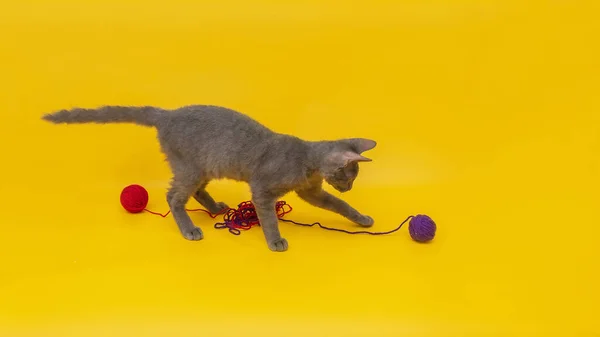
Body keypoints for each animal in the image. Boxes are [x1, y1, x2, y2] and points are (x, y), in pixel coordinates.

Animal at [43, 104, 376, 249]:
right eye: (348, 177)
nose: (348, 188)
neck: (306, 161)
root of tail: (167, 114)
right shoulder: (262, 190)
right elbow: (269, 218)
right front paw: (275, 240)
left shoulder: (311, 191)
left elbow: (339, 206)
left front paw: (361, 218)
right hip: (189, 167)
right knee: (173, 197)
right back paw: (189, 230)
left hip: (204, 165)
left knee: (195, 191)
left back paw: (215, 208)